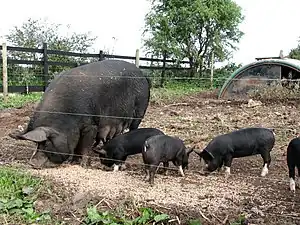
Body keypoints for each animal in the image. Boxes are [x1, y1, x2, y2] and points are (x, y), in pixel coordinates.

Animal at [9, 59, 150, 169]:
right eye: (36, 144)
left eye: (47, 143)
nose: (32, 163)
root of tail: (143, 75)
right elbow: (78, 146)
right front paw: (72, 162)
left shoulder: (91, 125)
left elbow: (84, 146)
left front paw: (83, 165)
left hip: (140, 111)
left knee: (133, 128)